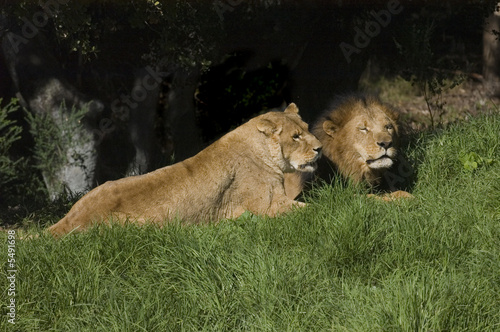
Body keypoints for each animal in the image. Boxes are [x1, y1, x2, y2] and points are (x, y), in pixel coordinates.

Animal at [48, 104, 322, 236]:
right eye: (295, 137)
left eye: (307, 129)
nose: (319, 148)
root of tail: (69, 221)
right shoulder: (268, 207)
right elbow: (313, 210)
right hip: (143, 226)